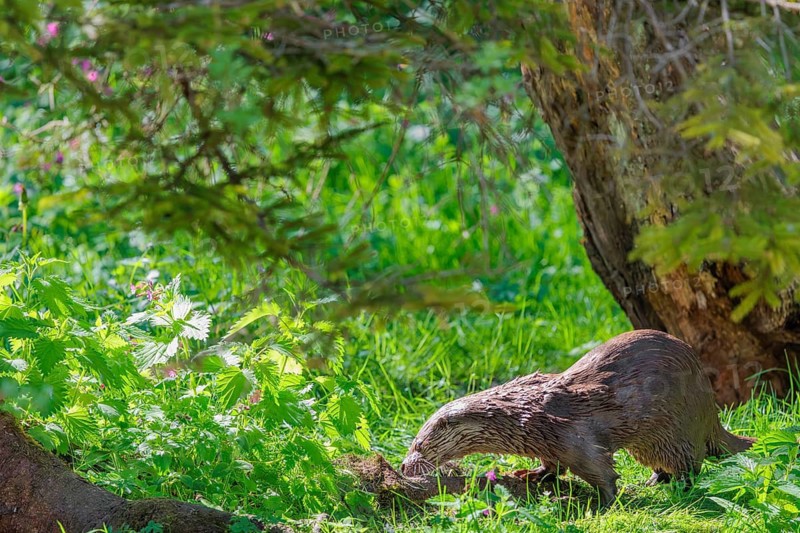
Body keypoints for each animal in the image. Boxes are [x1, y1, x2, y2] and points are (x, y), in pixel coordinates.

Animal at [400, 330, 755, 506]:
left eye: (419, 443)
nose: (403, 467)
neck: (526, 415)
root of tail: (709, 409)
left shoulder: (572, 439)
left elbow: (601, 472)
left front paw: (606, 503)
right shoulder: (548, 443)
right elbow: (552, 465)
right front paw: (532, 474)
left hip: (675, 429)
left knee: (691, 465)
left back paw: (676, 486)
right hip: (649, 443)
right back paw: (655, 479)